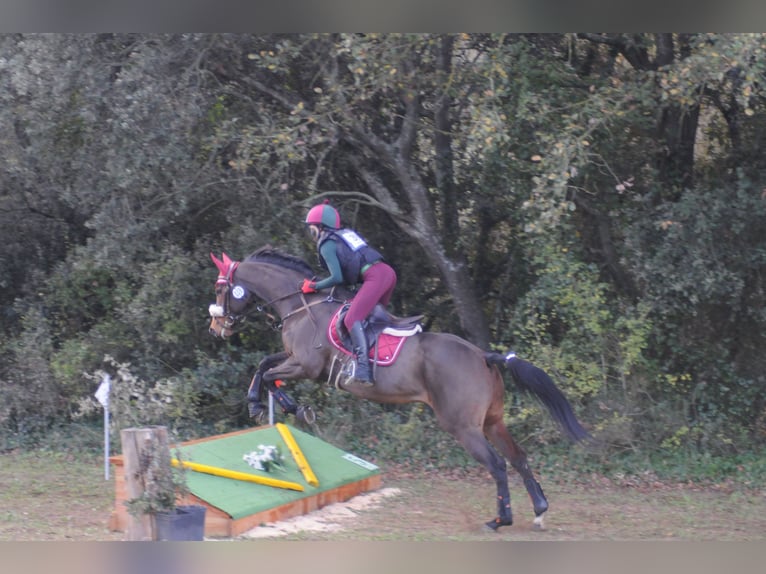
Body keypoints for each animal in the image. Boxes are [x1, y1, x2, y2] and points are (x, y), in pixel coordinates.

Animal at [207, 245, 592, 532]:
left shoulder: (306, 365)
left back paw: (500, 520)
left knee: (497, 464)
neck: (302, 306)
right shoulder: (293, 359)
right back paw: (539, 509)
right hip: (492, 421)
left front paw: (276, 406)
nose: (216, 329)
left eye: (221, 289)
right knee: (518, 458)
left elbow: (268, 373)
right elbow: (264, 367)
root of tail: (483, 355)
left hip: (463, 426)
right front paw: (273, 405)